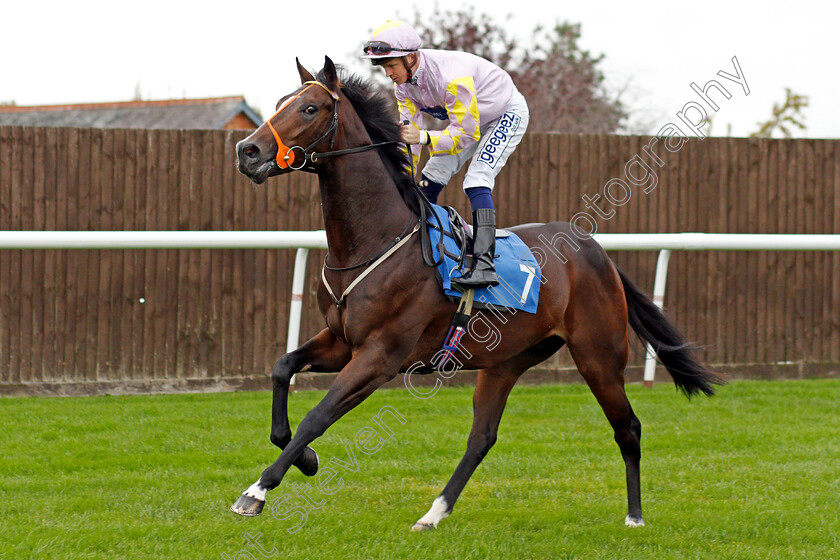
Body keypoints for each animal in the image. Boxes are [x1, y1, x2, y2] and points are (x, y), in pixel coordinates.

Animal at [231, 57, 720, 528]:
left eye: (310, 108)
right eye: (281, 101)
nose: (246, 151)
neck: (375, 239)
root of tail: (594, 250)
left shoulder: (380, 356)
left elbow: (318, 416)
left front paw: (257, 490)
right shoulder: (341, 341)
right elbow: (282, 368)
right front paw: (306, 460)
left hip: (598, 355)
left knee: (628, 427)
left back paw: (635, 516)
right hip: (505, 361)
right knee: (482, 437)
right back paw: (434, 513)